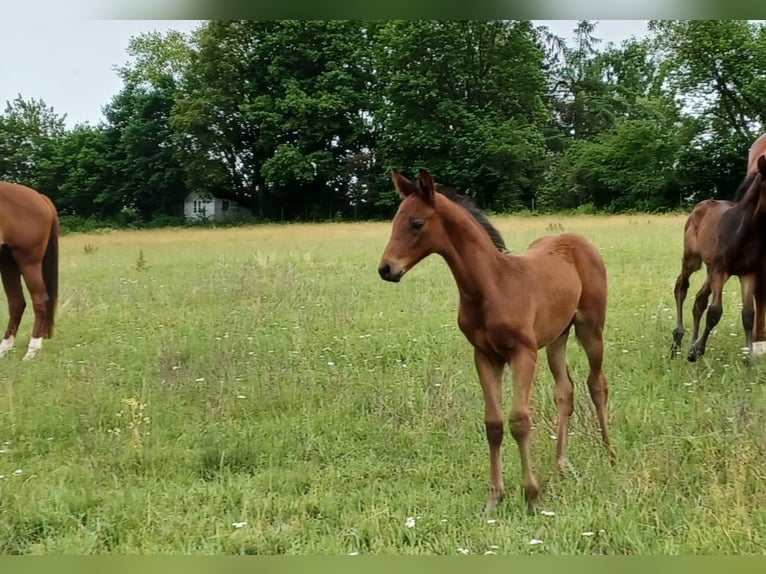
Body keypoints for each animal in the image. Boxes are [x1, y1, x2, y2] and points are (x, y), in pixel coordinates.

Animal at [0, 181, 59, 360]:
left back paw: (31, 351)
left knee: (39, 300)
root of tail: (40, 198)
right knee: (17, 303)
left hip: (28, 262)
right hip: (8, 262)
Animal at [377, 169, 615, 514]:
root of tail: (579, 240)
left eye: (417, 223)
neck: (493, 285)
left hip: (591, 328)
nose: (387, 269)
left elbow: (519, 420)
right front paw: (494, 499)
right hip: (557, 337)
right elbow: (493, 424)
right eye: (395, 220)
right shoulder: (485, 355)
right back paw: (560, 466)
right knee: (565, 391)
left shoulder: (523, 354)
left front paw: (532, 496)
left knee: (597, 385)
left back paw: (610, 455)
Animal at [672, 150, 766, 363]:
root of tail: (701, 205)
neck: (744, 232)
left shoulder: (748, 272)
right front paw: (696, 352)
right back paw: (678, 338)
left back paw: (688, 342)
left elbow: (748, 314)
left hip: (709, 269)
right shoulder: (720, 270)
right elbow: (715, 312)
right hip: (693, 260)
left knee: (699, 300)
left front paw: (749, 361)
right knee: (681, 286)